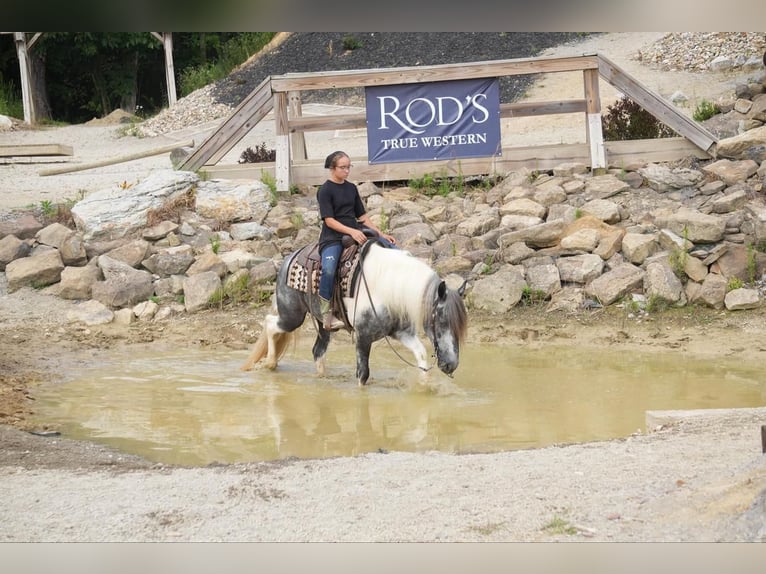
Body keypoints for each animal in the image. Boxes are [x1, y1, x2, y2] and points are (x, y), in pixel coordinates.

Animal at [242, 240, 468, 388]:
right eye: (442, 320)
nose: (451, 365)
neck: (388, 287)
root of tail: (290, 257)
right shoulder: (363, 337)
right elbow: (363, 375)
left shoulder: (401, 332)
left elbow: (420, 353)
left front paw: (425, 387)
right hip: (292, 316)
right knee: (270, 323)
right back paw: (270, 363)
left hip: (323, 324)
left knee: (318, 351)